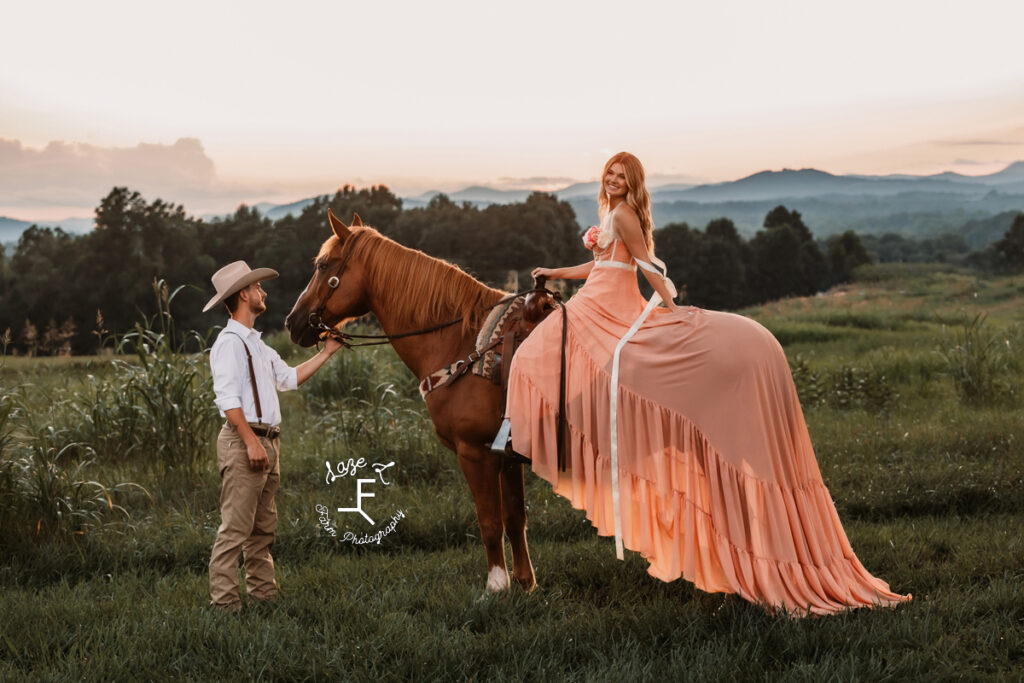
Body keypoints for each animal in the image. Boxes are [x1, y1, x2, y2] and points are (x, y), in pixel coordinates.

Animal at [280, 209, 536, 593]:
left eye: (323, 265)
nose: (292, 322)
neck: (463, 345)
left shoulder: (475, 453)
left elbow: (490, 521)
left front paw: (496, 586)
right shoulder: (505, 455)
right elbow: (514, 517)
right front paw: (524, 583)